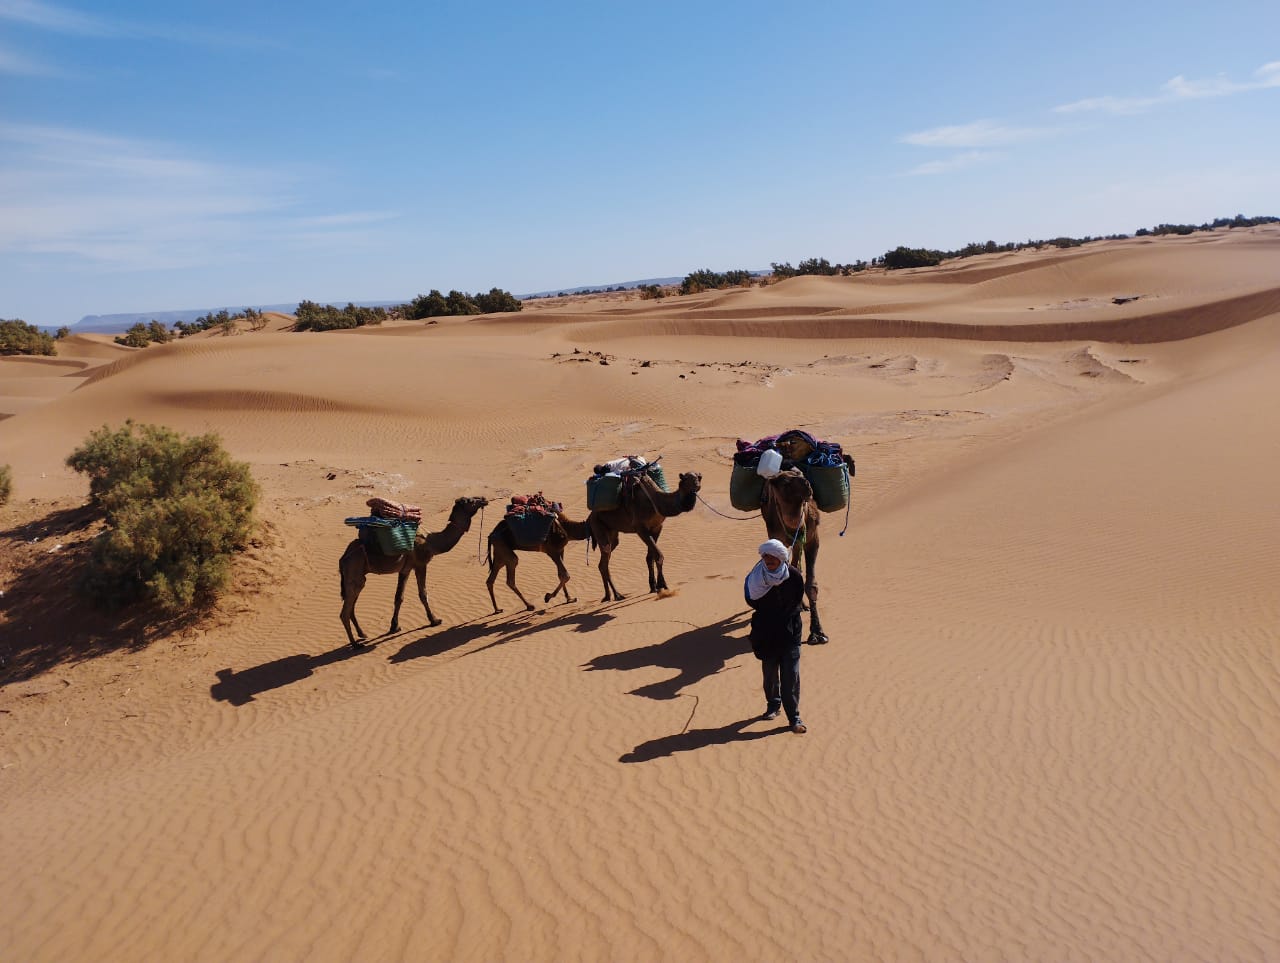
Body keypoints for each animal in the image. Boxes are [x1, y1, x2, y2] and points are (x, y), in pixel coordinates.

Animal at [340, 496, 488, 647]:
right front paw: (434, 620)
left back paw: (362, 634)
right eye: (470, 501)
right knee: (344, 612)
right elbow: (423, 594)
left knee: (351, 606)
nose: (483, 499)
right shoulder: (420, 564)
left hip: (356, 578)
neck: (432, 542)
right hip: (354, 572)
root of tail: (343, 559)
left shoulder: (405, 569)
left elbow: (399, 597)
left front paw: (394, 626)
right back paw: (356, 645)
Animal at [586, 471, 701, 601]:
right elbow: (659, 556)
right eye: (687, 479)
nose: (697, 485)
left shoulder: (657, 528)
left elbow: (650, 557)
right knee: (604, 560)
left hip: (612, 534)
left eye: (699, 477)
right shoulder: (640, 528)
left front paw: (654, 587)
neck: (656, 501)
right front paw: (663, 587)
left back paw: (608, 596)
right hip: (598, 526)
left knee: (603, 562)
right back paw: (617, 595)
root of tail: (590, 517)